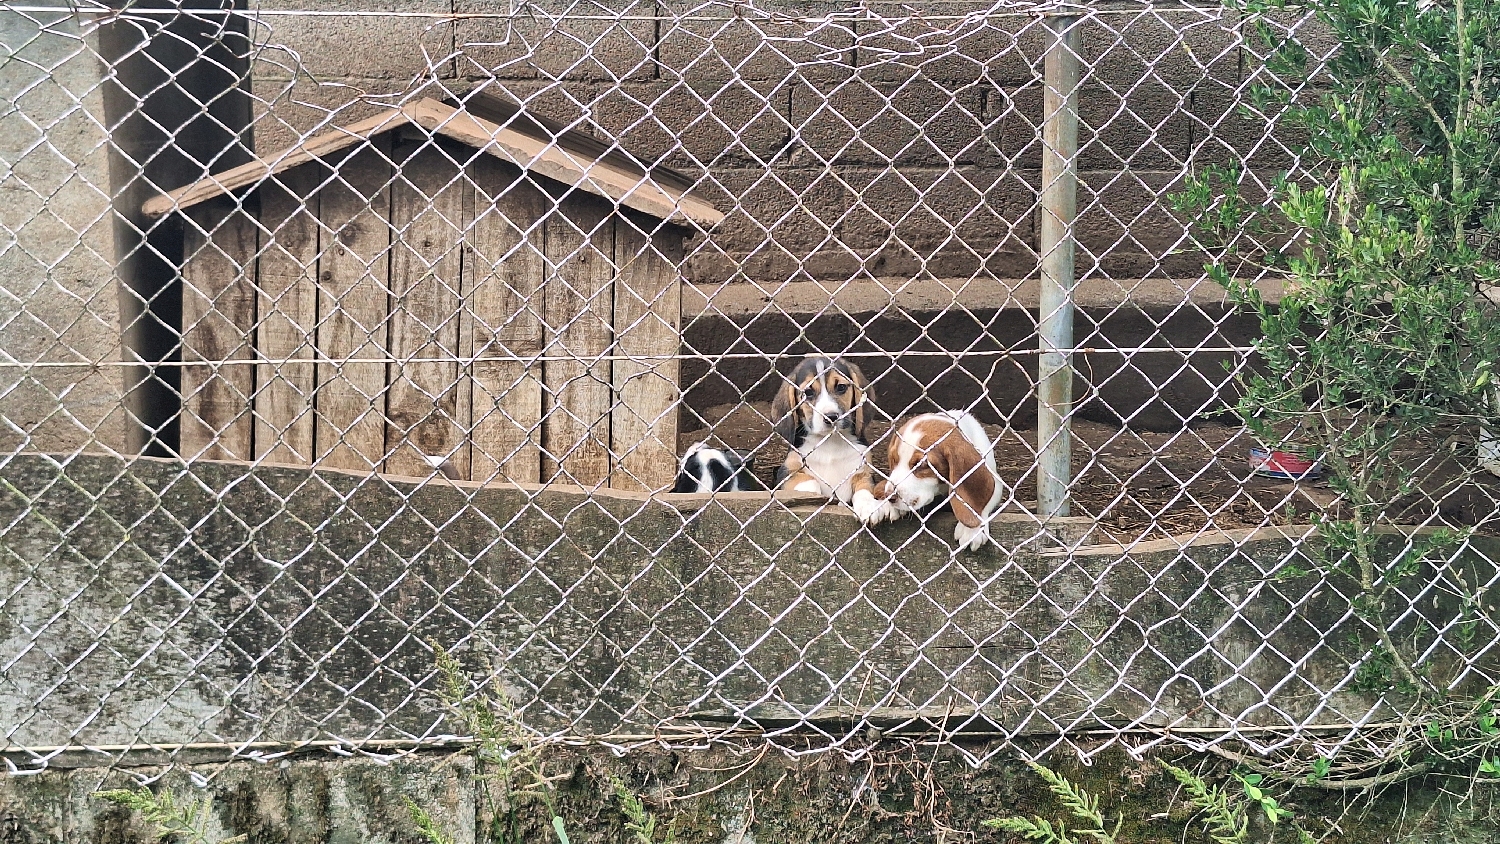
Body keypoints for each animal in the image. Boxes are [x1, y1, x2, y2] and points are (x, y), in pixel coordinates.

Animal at [774, 353, 888, 524]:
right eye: (808, 392)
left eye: (841, 387)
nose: (831, 417)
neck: (830, 442)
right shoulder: (786, 473)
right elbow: (808, 483)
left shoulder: (863, 470)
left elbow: (864, 488)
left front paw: (868, 507)